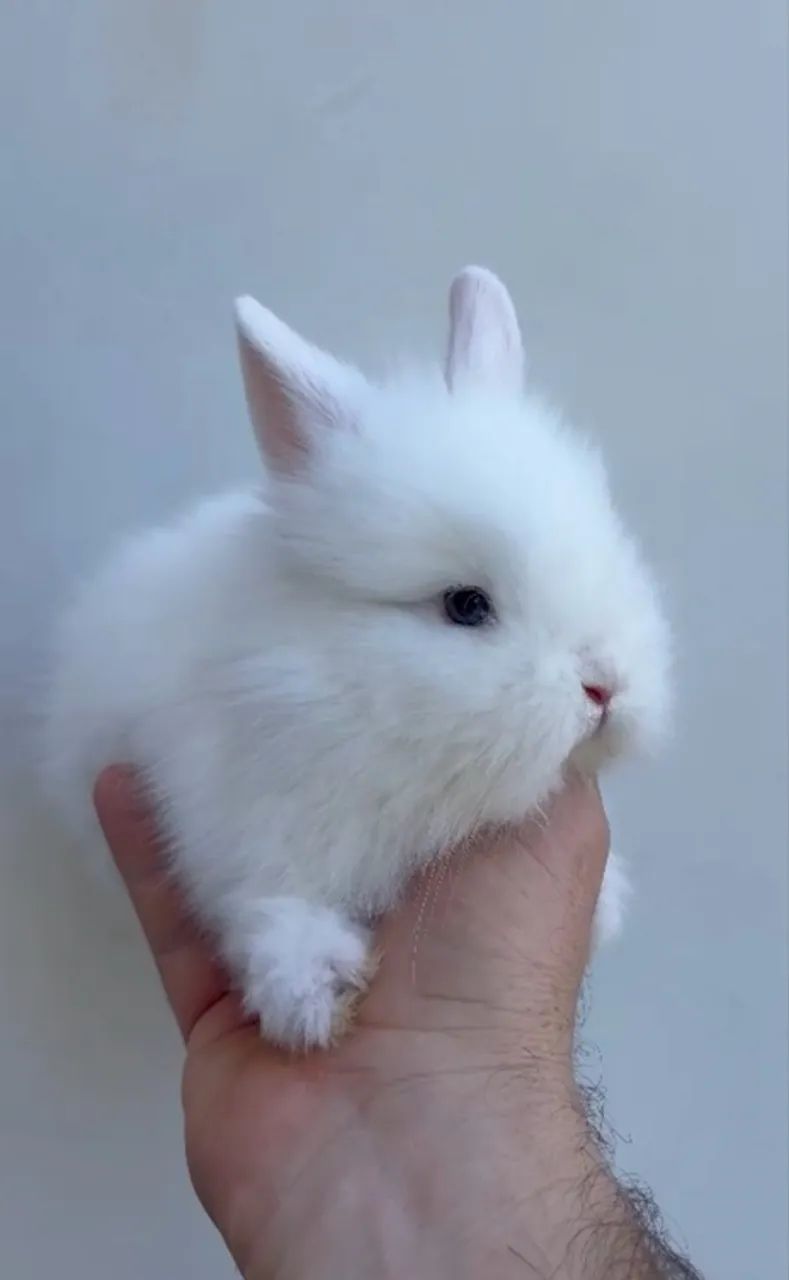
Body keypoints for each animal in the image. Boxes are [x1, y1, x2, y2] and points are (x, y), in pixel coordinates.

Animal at [43, 266, 670, 1051]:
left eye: (605, 549)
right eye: (465, 605)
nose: (604, 687)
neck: (345, 689)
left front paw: (607, 903)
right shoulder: (235, 821)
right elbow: (267, 904)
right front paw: (314, 993)